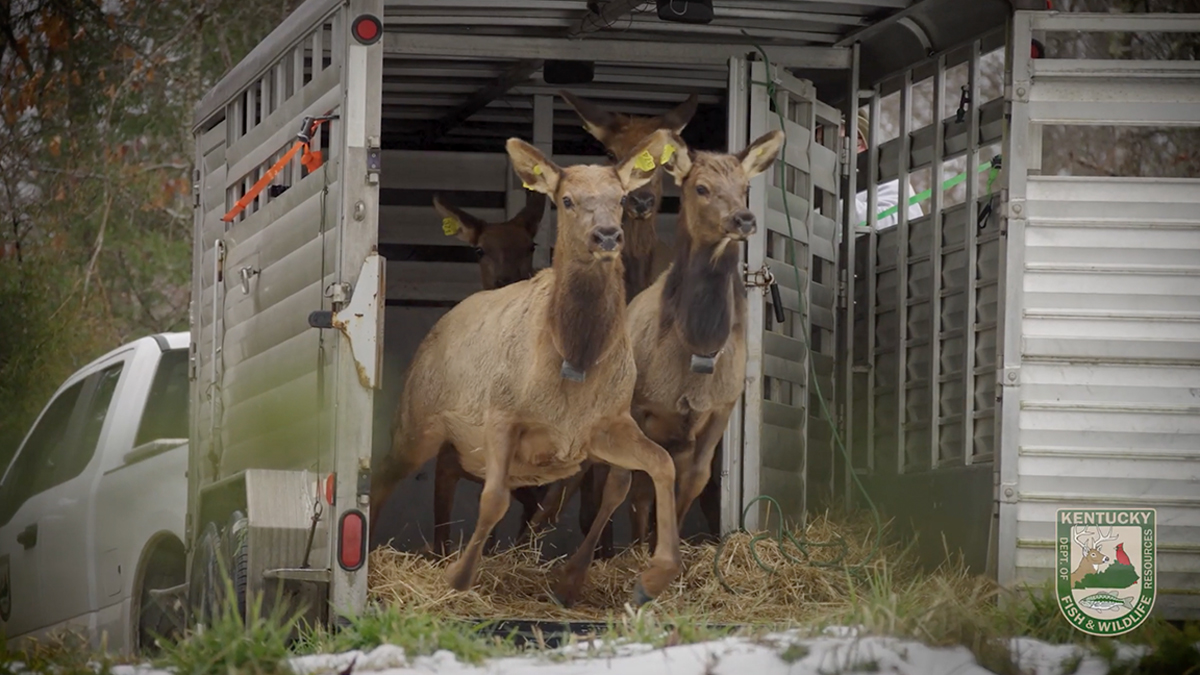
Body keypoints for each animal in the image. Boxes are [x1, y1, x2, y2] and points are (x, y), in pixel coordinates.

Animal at [370, 129, 685, 607]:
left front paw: (653, 576)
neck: (574, 369)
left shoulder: (607, 425)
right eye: (567, 200)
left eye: (619, 197)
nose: (607, 235)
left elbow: (660, 466)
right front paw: (459, 576)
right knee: (383, 478)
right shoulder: (502, 414)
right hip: (417, 423)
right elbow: (493, 499)